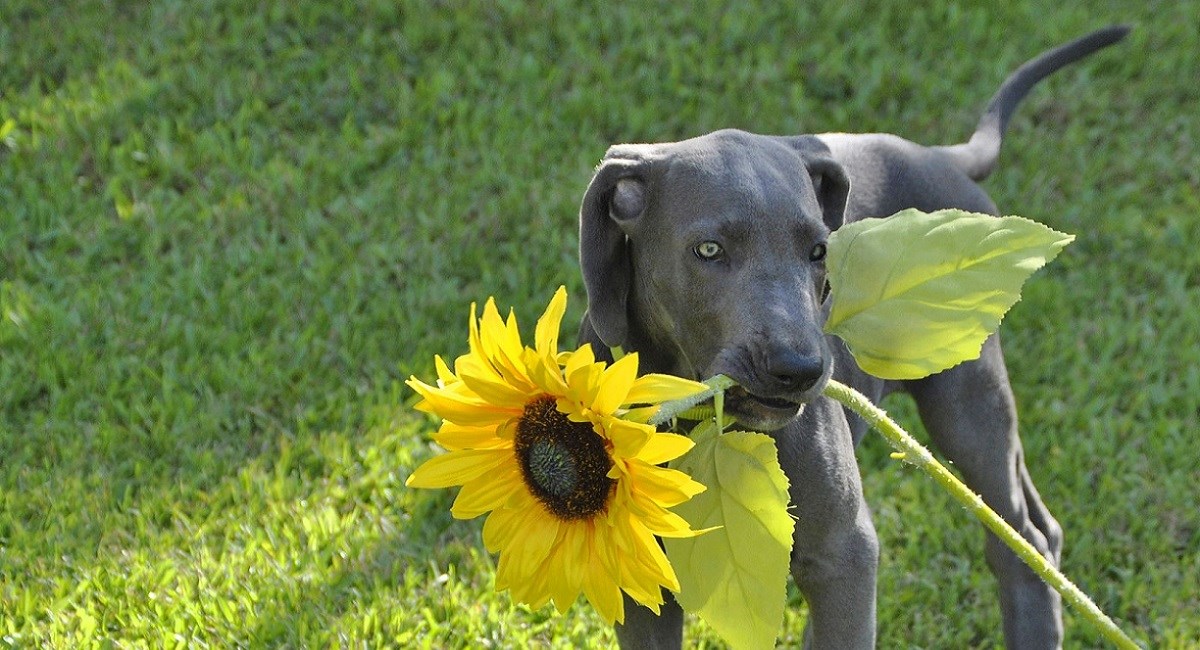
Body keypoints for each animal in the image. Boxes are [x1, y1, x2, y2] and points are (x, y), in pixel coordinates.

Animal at [576, 26, 1128, 650]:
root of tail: (936, 156)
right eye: (709, 250)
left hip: (968, 391)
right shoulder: (640, 581)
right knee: (1041, 528)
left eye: (819, 250)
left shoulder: (845, 553)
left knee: (1019, 541)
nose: (799, 369)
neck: (695, 412)